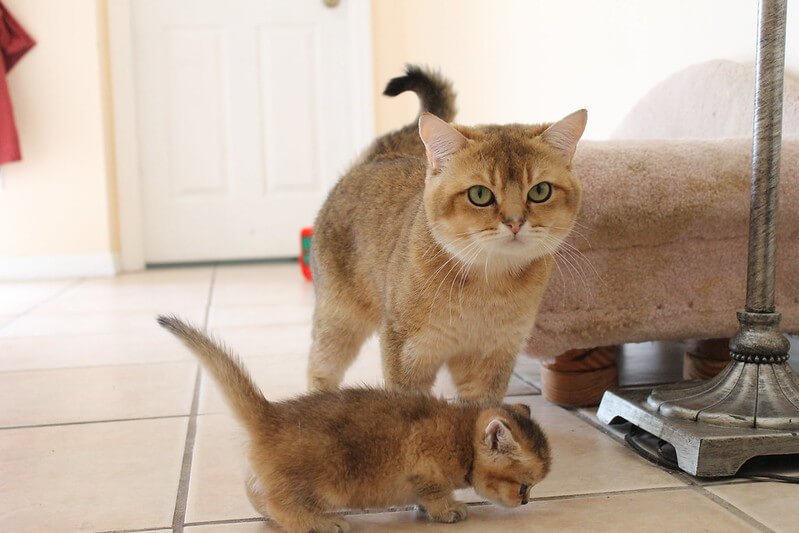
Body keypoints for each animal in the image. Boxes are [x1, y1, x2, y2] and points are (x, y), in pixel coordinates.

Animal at [158, 316, 552, 532]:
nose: (527, 503)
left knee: (259, 497)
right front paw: (448, 510)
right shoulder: (423, 466)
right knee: (279, 505)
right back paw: (320, 523)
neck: (460, 434)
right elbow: (435, 492)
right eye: (523, 487)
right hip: (325, 480)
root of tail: (269, 414)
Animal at [310, 65, 584, 400]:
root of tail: (377, 158)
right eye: (480, 194)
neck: (487, 287)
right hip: (338, 320)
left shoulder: (491, 359)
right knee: (319, 367)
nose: (515, 222)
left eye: (540, 191)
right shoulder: (405, 352)